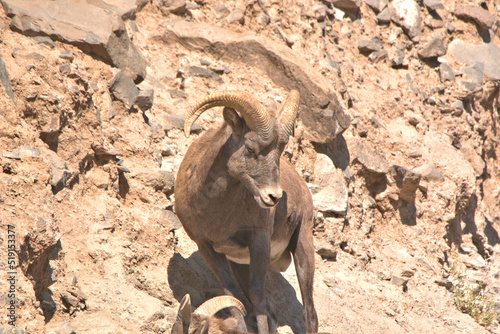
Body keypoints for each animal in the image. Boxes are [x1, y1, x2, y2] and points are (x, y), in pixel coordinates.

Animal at [175, 90, 316, 332]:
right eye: (250, 148)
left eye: (280, 152)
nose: (273, 197)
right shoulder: (207, 247)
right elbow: (232, 295)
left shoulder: (259, 239)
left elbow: (257, 295)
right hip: (241, 264)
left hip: (303, 247)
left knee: (309, 313)